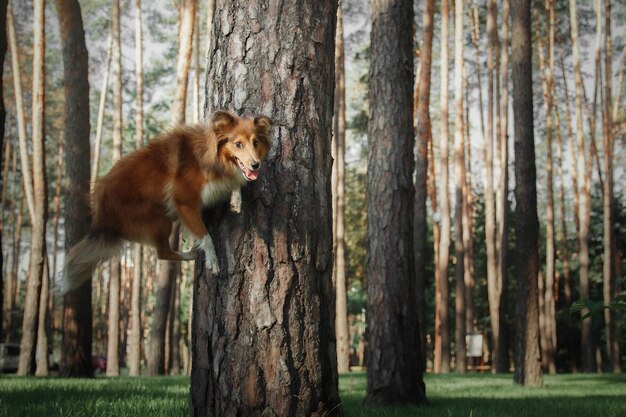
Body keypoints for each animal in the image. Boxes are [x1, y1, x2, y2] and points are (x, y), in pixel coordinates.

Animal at [60, 110, 270, 292]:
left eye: (255, 142)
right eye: (238, 144)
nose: (256, 165)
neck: (211, 159)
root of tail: (100, 217)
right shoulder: (185, 203)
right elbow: (205, 236)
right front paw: (212, 260)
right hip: (157, 218)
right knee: (162, 253)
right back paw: (189, 254)